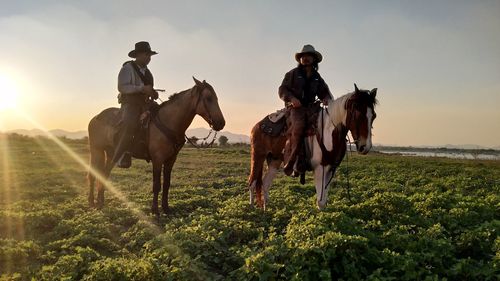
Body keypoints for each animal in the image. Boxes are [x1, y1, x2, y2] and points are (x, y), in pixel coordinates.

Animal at [87, 77, 225, 213]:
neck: (168, 122)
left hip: (110, 153)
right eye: (209, 98)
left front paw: (166, 208)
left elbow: (166, 184)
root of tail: (95, 118)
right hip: (96, 150)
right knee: (93, 174)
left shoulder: (171, 160)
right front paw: (155, 210)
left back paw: (100, 201)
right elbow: (156, 184)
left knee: (104, 173)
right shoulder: (157, 159)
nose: (221, 123)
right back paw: (93, 202)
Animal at [248, 84, 376, 209]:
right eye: (358, 114)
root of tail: (258, 125)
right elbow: (320, 202)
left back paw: (266, 207)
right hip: (258, 156)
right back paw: (252, 207)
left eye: (374, 116)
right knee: (252, 181)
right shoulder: (320, 168)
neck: (328, 132)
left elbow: (323, 202)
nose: (365, 147)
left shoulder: (331, 169)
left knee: (265, 183)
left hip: (275, 159)